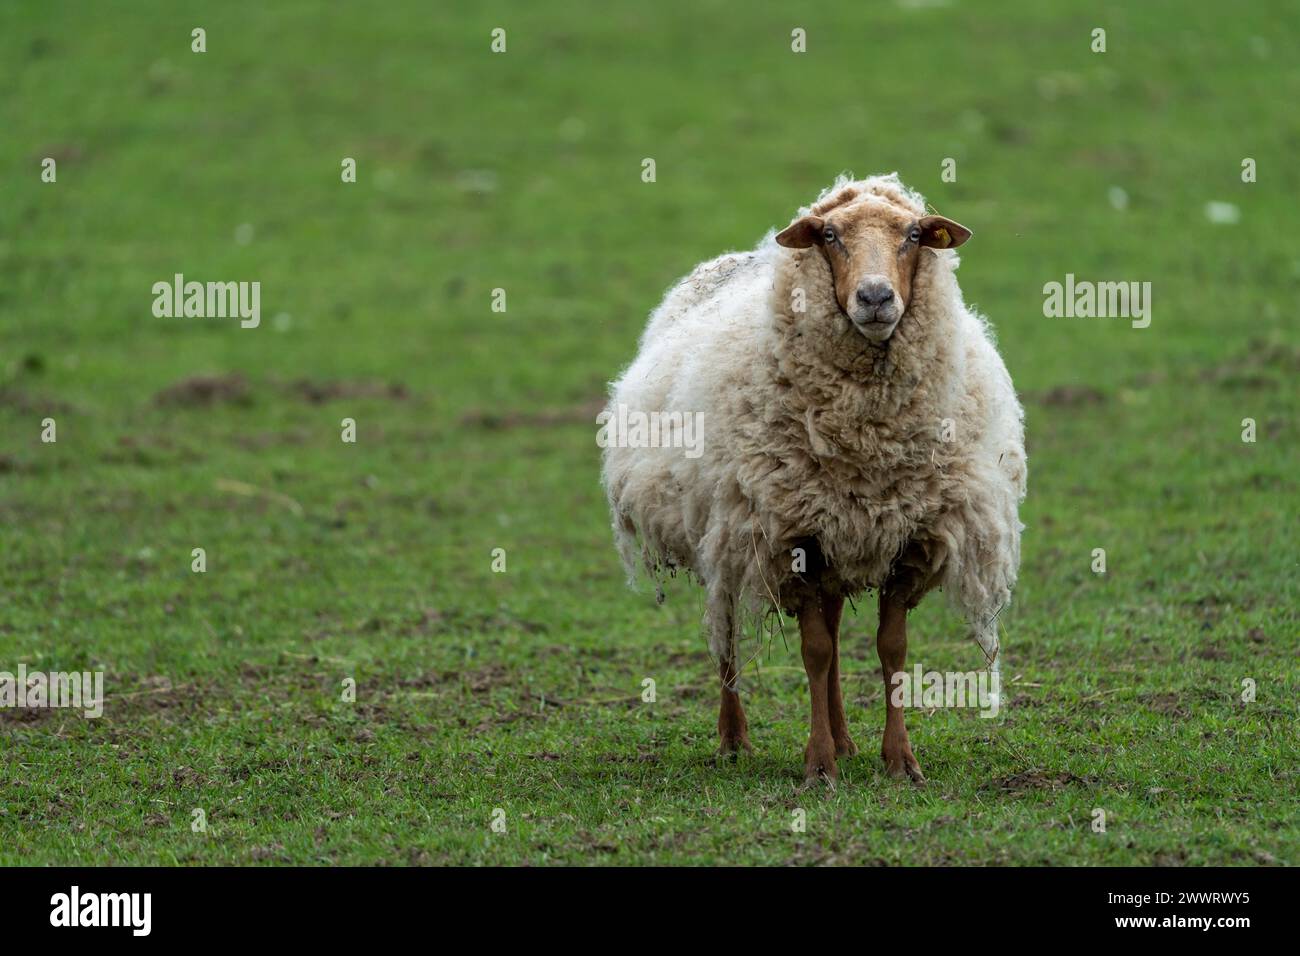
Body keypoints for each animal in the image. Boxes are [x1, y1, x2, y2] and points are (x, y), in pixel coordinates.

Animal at [601, 173, 1026, 786]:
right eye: (829, 235)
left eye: (914, 235)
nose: (875, 298)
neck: (868, 442)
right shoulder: (790, 540)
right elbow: (815, 653)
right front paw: (818, 764)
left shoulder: (907, 539)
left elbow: (890, 649)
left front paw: (899, 760)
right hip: (727, 535)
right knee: (726, 634)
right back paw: (735, 738)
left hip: (832, 534)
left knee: (831, 626)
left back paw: (846, 739)